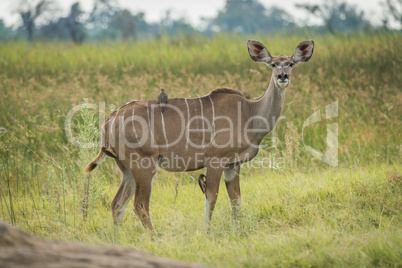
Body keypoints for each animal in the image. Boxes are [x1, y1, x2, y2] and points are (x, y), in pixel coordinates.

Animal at [84, 39, 314, 232]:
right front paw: (207, 232)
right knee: (139, 205)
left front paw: (238, 230)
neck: (250, 113)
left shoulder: (233, 164)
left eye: (291, 63)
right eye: (273, 64)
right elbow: (211, 197)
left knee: (117, 204)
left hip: (127, 169)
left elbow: (236, 199)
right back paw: (154, 237)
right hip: (143, 165)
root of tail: (110, 119)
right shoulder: (215, 161)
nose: (282, 77)